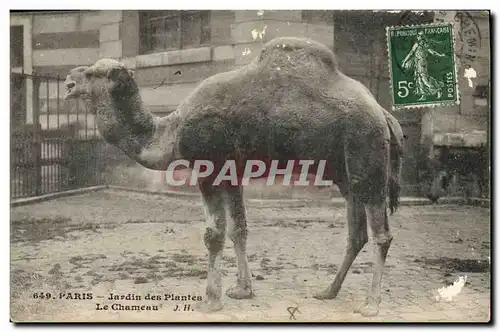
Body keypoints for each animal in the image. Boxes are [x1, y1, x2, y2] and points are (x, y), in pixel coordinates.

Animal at [64, 37, 404, 318]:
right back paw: (328, 291)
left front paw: (210, 300)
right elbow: (238, 230)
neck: (169, 131)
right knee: (356, 232)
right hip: (347, 173)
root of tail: (384, 114)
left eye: (93, 73)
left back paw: (371, 304)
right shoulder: (233, 174)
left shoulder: (208, 169)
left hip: (367, 155)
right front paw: (242, 290)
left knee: (381, 234)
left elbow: (213, 234)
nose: (68, 81)